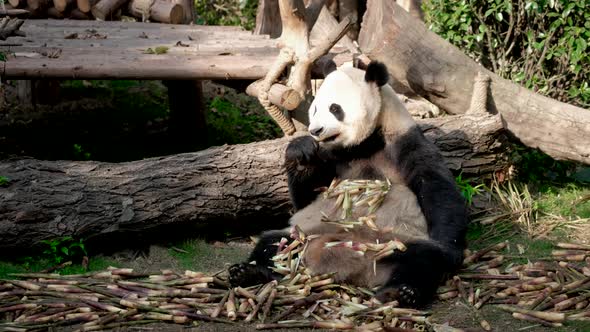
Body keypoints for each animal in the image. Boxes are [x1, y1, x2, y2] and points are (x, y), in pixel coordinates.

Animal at [229, 61, 470, 308]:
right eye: (315, 108)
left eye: (335, 108)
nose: (315, 130)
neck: (364, 143)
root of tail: (353, 269)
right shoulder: (333, 157)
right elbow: (306, 199)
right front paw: (301, 149)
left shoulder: (405, 143)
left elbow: (437, 190)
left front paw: (449, 245)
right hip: (306, 234)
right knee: (274, 243)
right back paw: (248, 272)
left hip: (393, 243)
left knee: (422, 260)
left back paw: (401, 292)